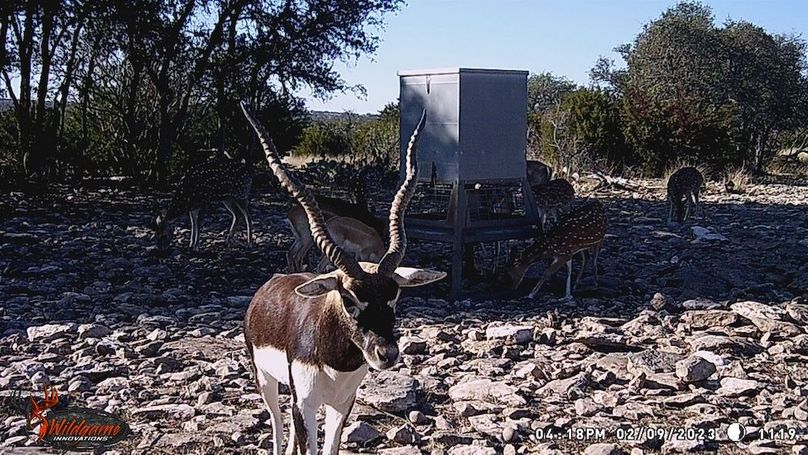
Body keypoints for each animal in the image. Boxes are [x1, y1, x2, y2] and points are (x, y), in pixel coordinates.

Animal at [240, 103, 446, 455]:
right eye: (349, 299)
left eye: (394, 296)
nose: (387, 354)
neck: (336, 360)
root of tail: (269, 286)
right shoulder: (305, 405)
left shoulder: (341, 404)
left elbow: (331, 447)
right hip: (266, 380)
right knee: (278, 426)